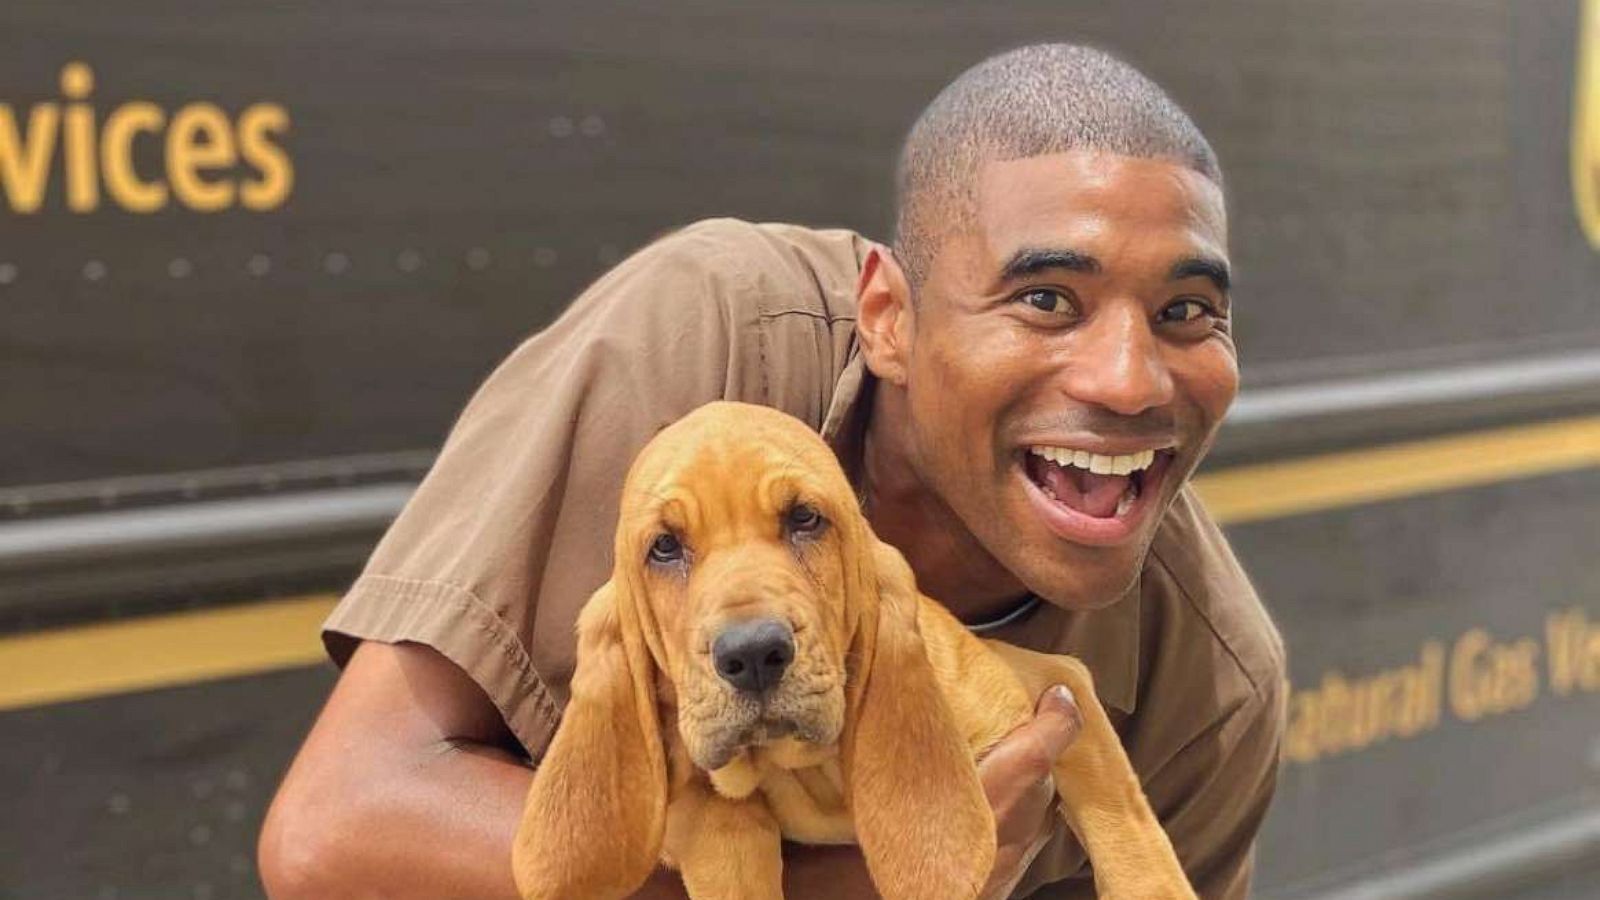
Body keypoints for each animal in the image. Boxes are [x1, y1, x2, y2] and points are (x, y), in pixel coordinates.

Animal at [508, 400, 1190, 896]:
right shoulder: (692, 799)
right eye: (665, 547)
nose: (752, 656)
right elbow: (725, 830)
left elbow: (1128, 833)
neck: (813, 770)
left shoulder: (1052, 681)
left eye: (805, 519)